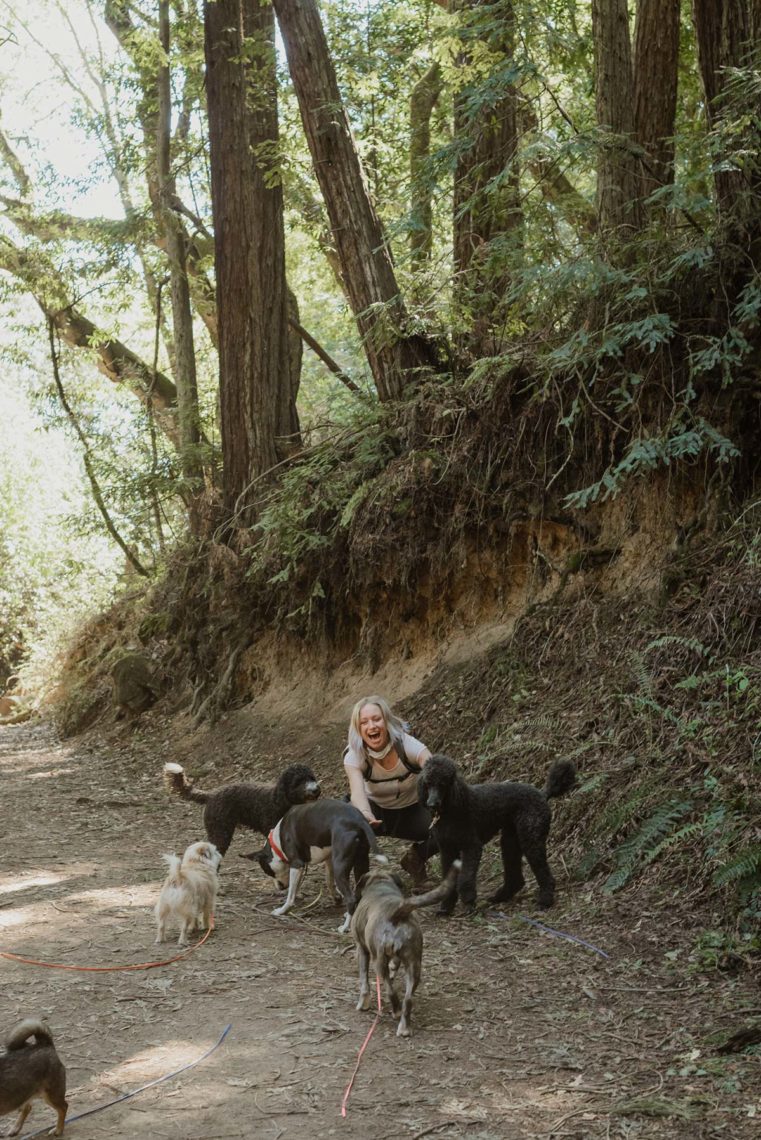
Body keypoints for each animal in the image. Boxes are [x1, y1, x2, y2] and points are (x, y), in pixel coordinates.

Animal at [164, 766, 321, 857]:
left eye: (311, 778)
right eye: (298, 781)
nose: (316, 790)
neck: (280, 800)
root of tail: (211, 795)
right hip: (220, 832)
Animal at [348, 857, 460, 1039]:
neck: (381, 884)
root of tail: (397, 914)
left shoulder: (362, 949)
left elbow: (364, 981)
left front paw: (363, 1004)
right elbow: (394, 964)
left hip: (379, 961)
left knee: (390, 991)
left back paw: (396, 1012)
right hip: (414, 964)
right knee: (408, 1000)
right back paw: (404, 1028)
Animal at [416, 756, 576, 916]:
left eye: (442, 784)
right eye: (427, 783)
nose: (431, 804)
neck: (451, 810)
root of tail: (542, 794)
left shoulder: (472, 846)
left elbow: (466, 878)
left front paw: (469, 903)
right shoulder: (447, 849)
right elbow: (448, 881)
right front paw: (446, 907)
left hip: (531, 838)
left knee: (542, 871)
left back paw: (545, 900)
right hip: (510, 840)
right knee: (516, 875)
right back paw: (502, 896)